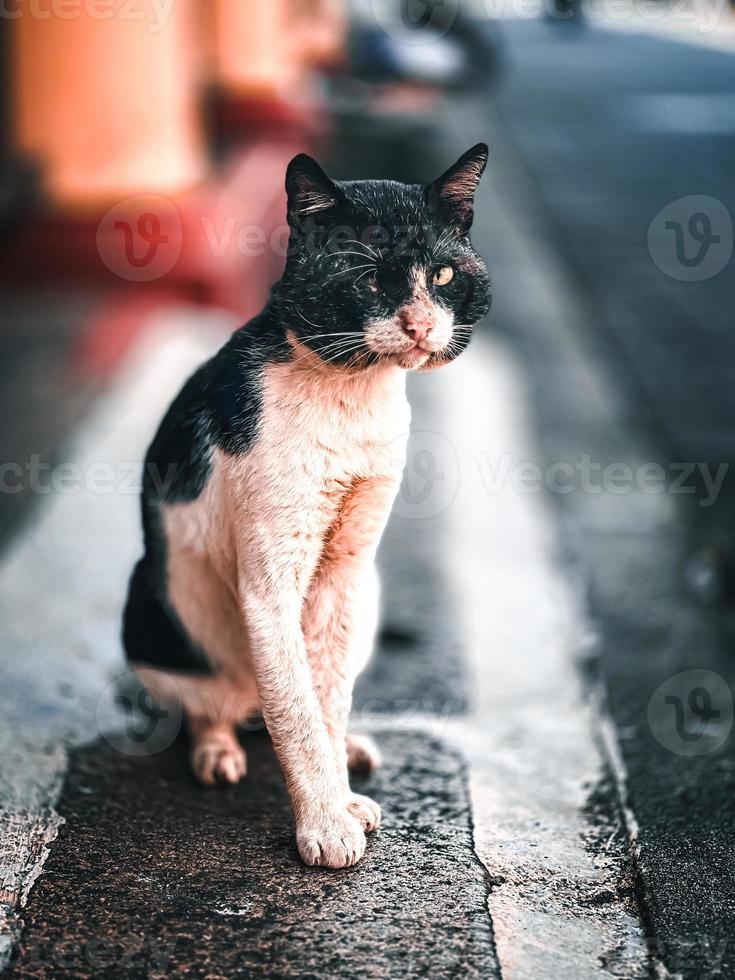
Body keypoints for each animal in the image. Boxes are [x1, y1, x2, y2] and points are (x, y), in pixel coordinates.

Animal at [123, 144, 492, 864]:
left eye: (440, 274)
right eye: (371, 281)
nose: (419, 325)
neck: (354, 395)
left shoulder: (345, 571)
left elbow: (329, 697)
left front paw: (341, 797)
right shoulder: (271, 582)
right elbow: (296, 713)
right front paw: (325, 824)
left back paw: (349, 753)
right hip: (153, 603)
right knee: (210, 707)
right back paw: (218, 750)